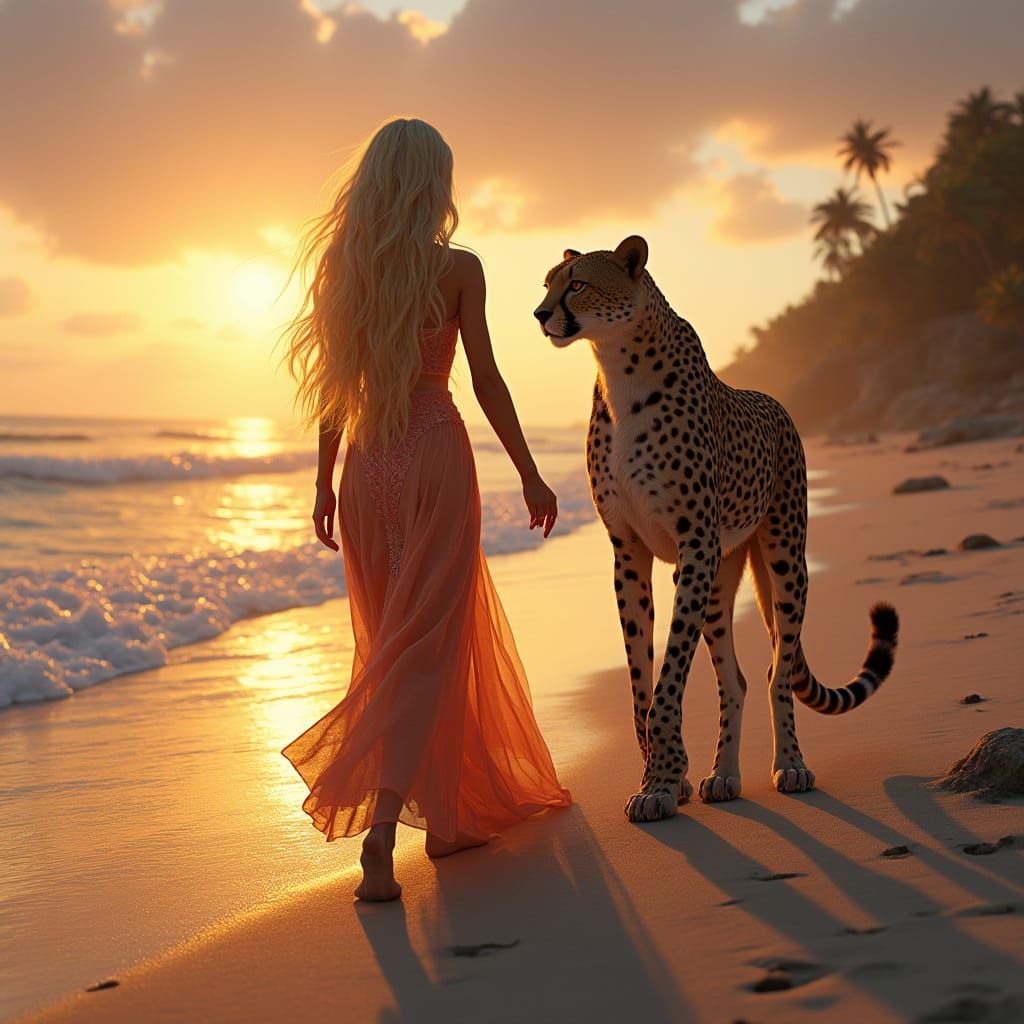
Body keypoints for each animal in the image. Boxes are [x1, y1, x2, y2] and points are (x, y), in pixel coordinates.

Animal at [534, 235, 899, 823]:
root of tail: (776, 402)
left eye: (578, 284)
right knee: (739, 679)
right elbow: (641, 680)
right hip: (718, 574)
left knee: (778, 672)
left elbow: (668, 685)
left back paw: (791, 765)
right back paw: (723, 774)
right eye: (548, 282)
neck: (618, 366)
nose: (541, 314)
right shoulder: (631, 552)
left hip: (783, 561)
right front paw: (664, 777)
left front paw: (661, 781)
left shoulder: (694, 545)